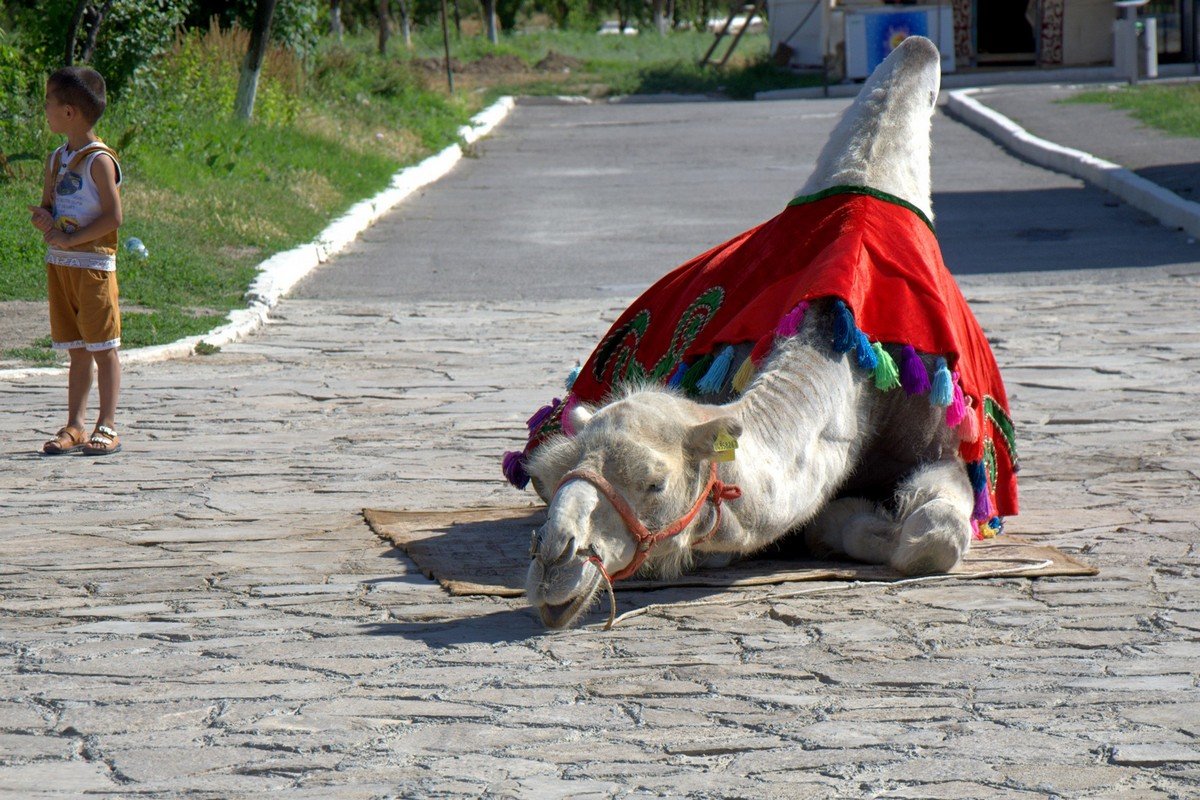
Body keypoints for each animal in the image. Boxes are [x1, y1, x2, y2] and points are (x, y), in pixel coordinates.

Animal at [501, 37, 1017, 628]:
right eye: (578, 467)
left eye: (655, 483)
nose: (552, 561)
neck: (850, 360)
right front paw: (832, 521)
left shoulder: (951, 445)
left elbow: (937, 535)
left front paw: (850, 520)